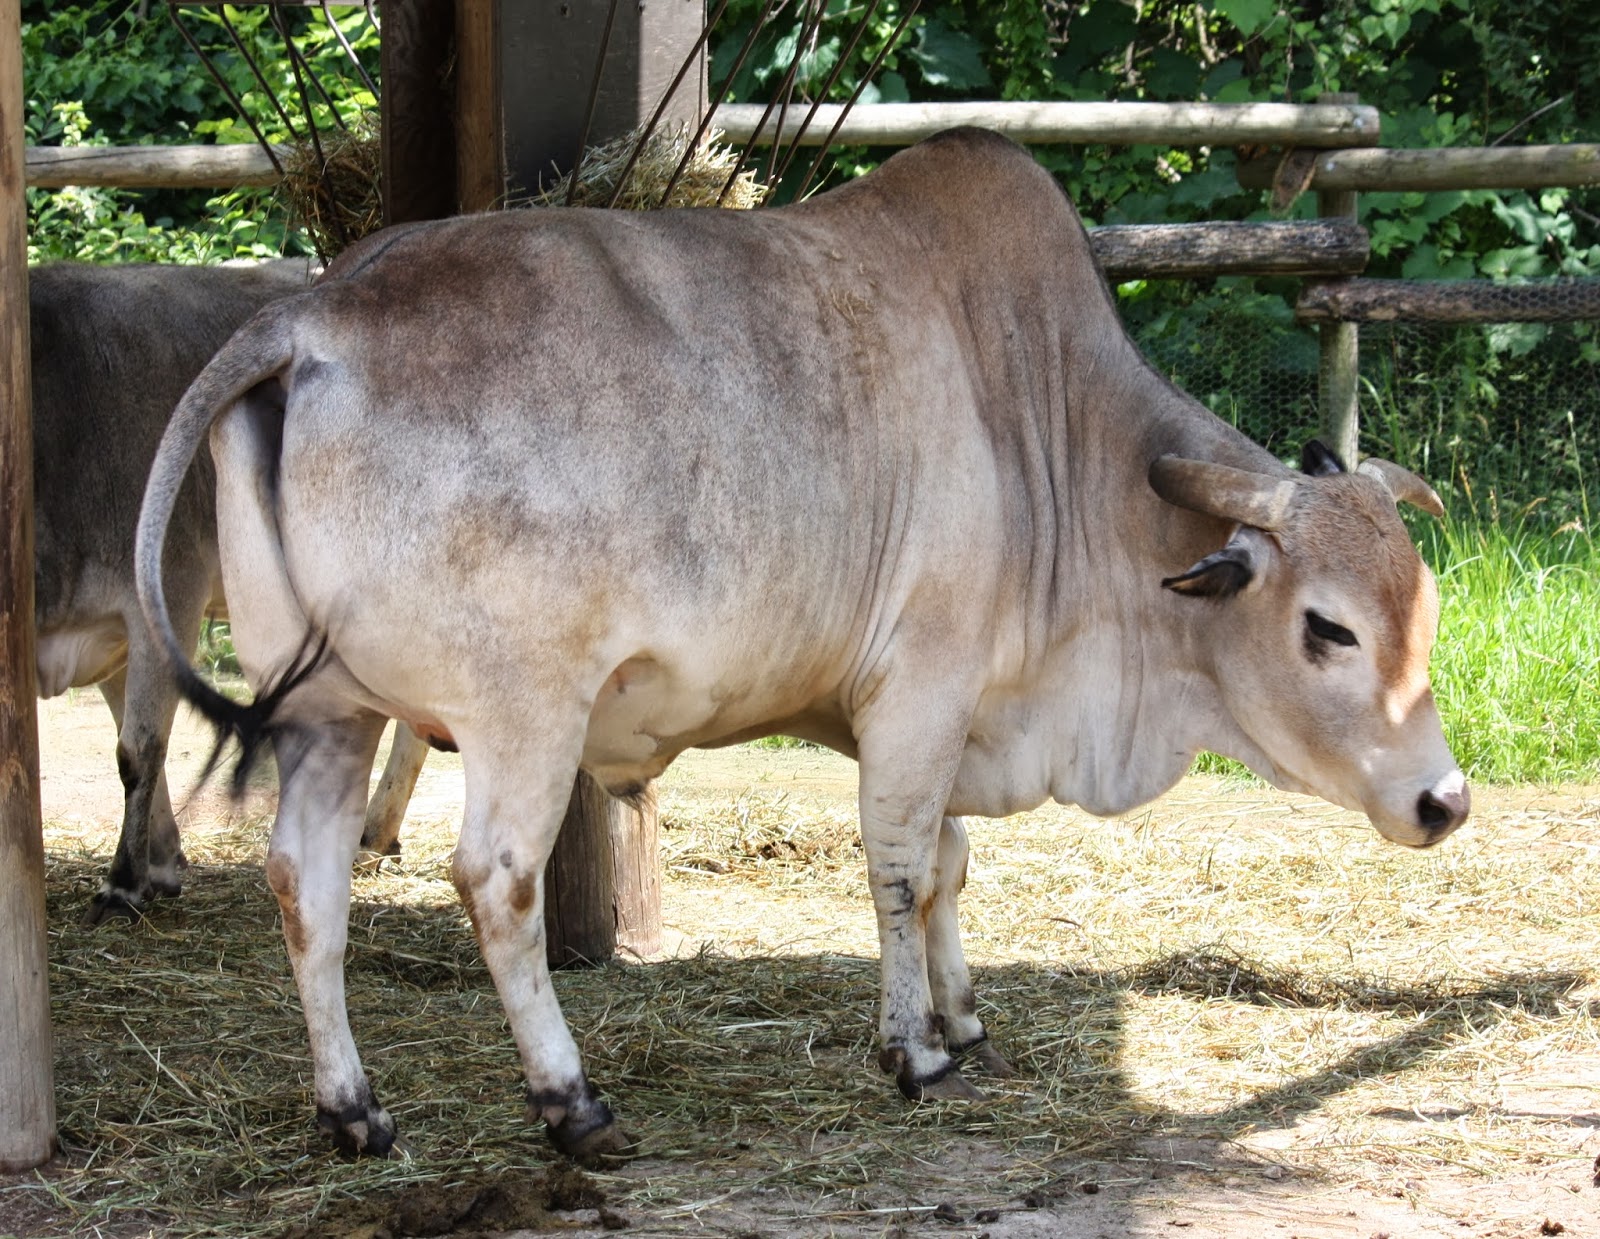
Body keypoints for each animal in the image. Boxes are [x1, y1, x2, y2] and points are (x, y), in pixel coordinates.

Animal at [134, 131, 1465, 1171]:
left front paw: (963, 1019)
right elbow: (899, 867)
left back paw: (353, 1112)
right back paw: (572, 1104)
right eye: (1327, 627)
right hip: (522, 714)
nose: (1443, 801)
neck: (1044, 429)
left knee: (304, 884)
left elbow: (949, 867)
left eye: (1428, 616)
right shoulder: (919, 694)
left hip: (329, 715)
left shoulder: (949, 715)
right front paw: (913, 1051)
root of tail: (310, 319)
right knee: (495, 881)